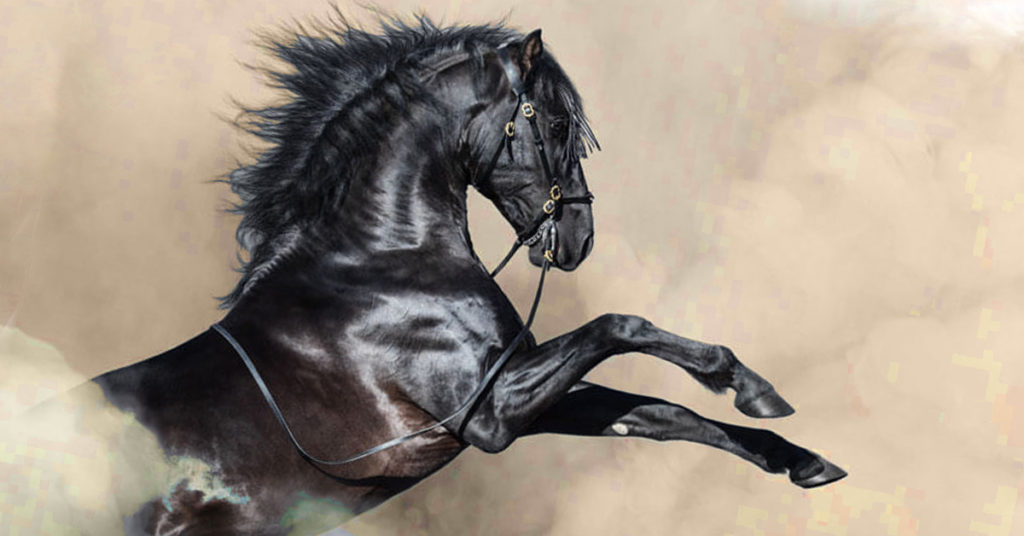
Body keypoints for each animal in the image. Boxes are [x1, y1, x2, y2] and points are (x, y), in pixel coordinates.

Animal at [76, 15, 845, 535]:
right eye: (556, 124)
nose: (578, 240)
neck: (383, 265)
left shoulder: (524, 394)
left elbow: (658, 415)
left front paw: (799, 456)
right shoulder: (491, 411)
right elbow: (620, 326)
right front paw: (742, 381)